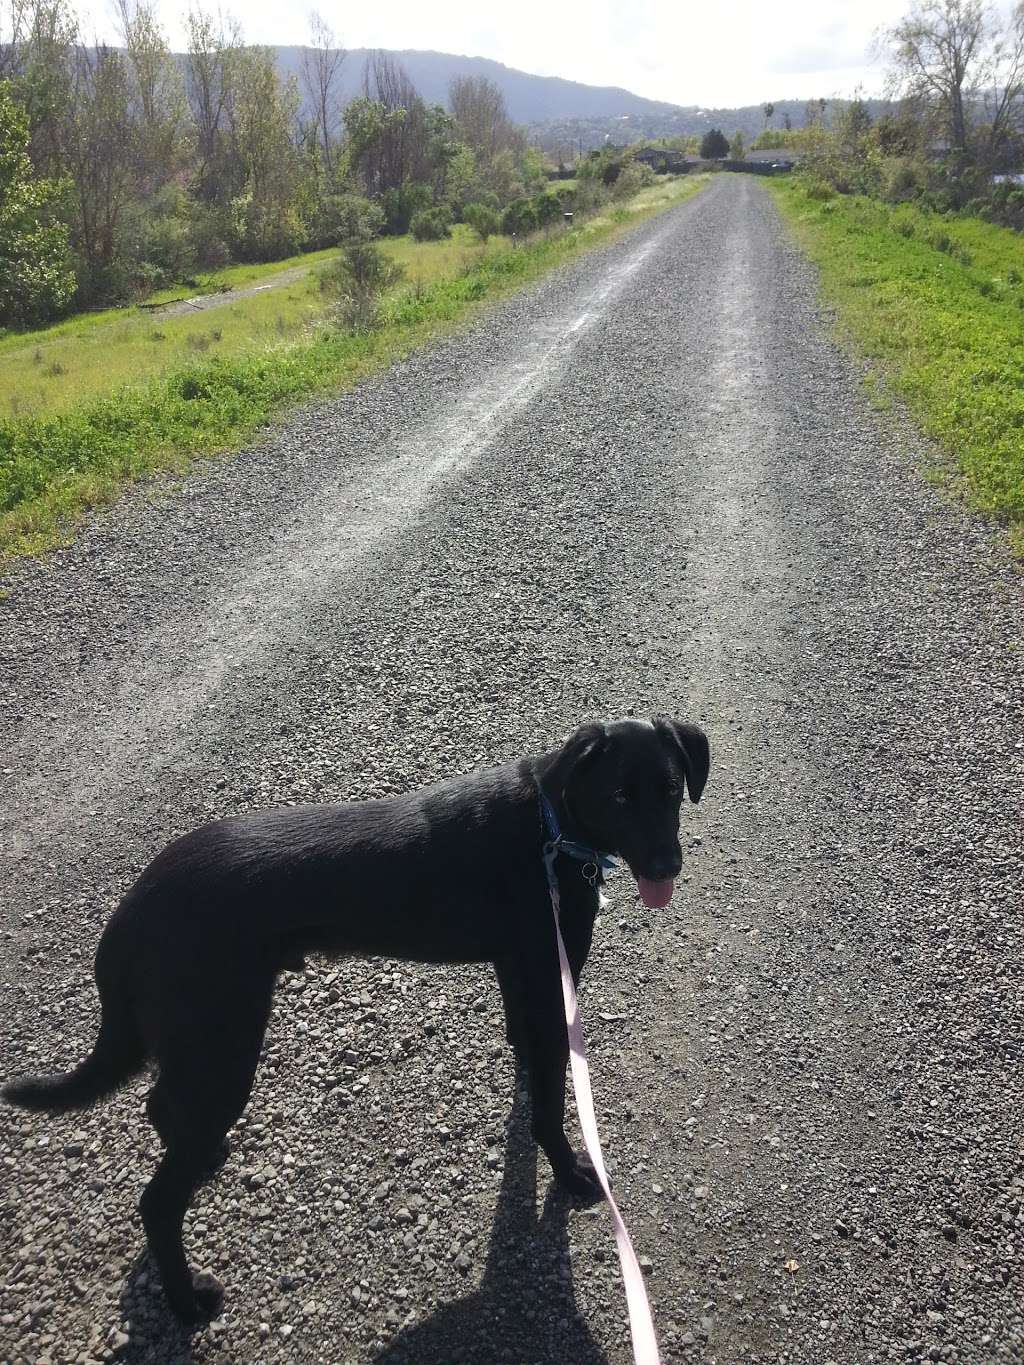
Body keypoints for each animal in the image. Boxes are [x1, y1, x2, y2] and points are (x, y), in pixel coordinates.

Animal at [2, 720, 704, 1326]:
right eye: (620, 795)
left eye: (671, 789)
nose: (667, 866)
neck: (550, 824)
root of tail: (131, 913)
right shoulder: (549, 975)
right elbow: (553, 1098)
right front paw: (569, 1169)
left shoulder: (518, 970)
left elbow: (527, 1053)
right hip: (223, 1043)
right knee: (156, 1200)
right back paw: (186, 1302)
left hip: (202, 1044)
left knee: (161, 1108)